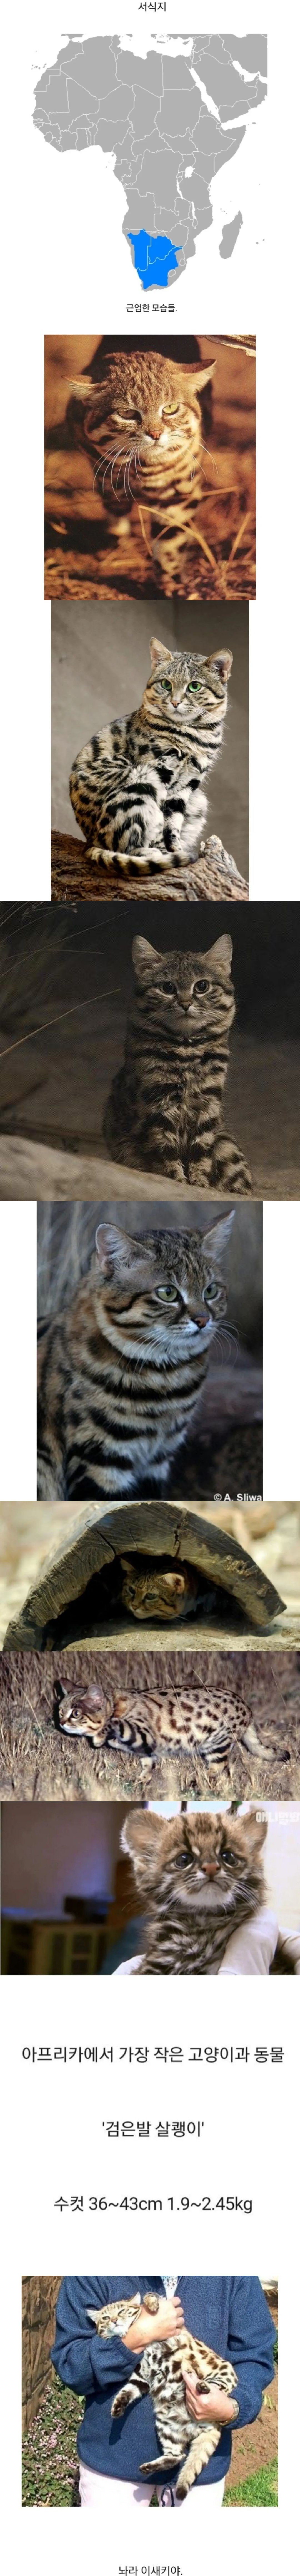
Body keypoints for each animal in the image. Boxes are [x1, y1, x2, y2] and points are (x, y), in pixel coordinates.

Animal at [37, 1211, 232, 1504]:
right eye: (168, 1293)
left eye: (211, 1291)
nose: (203, 1320)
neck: (165, 1379)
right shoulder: (99, 1460)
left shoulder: (157, 1460)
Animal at [70, 634, 238, 876]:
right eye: (166, 684)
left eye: (195, 687)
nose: (175, 702)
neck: (193, 735)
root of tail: (88, 842)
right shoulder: (159, 768)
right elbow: (159, 823)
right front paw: (165, 853)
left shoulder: (188, 784)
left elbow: (173, 822)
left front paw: (174, 848)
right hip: (141, 782)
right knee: (119, 844)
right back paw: (148, 852)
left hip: (198, 802)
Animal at [104, 937, 252, 1195]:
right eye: (168, 988)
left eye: (202, 986)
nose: (185, 1004)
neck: (186, 1047)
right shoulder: (158, 1102)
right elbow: (166, 1149)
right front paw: (178, 1181)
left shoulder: (208, 1103)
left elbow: (201, 1151)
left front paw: (200, 1184)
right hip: (126, 1148)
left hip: (226, 1145)